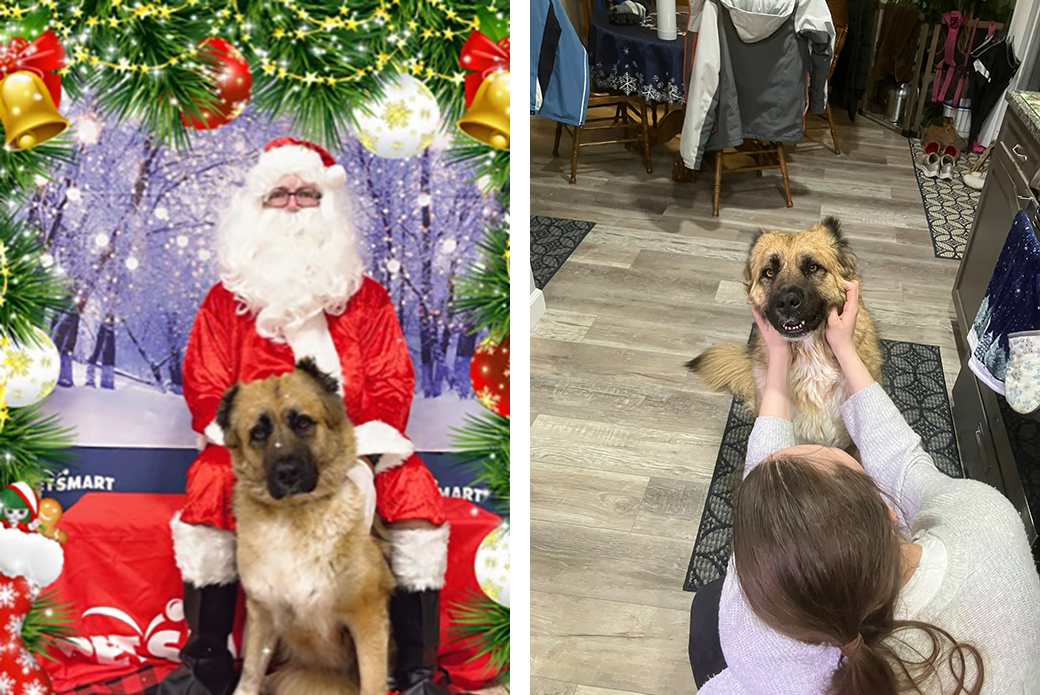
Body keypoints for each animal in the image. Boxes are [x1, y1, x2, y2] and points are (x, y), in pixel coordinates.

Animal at [217, 362, 395, 690]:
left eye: (302, 422)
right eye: (258, 432)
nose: (288, 473)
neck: (295, 515)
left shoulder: (367, 616)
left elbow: (373, 683)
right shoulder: (263, 614)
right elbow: (249, 675)